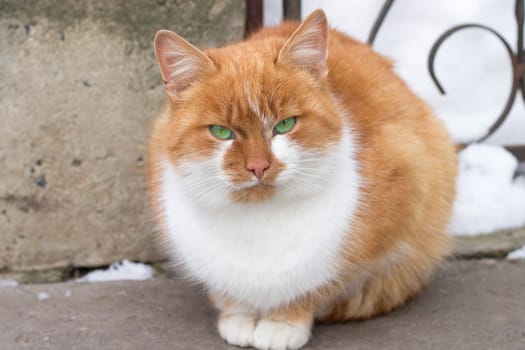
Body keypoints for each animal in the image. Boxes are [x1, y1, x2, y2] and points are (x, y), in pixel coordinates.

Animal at [146, 8, 454, 350]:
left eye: (285, 125)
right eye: (221, 131)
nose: (258, 166)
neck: (258, 222)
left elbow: (312, 286)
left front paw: (283, 321)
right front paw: (239, 313)